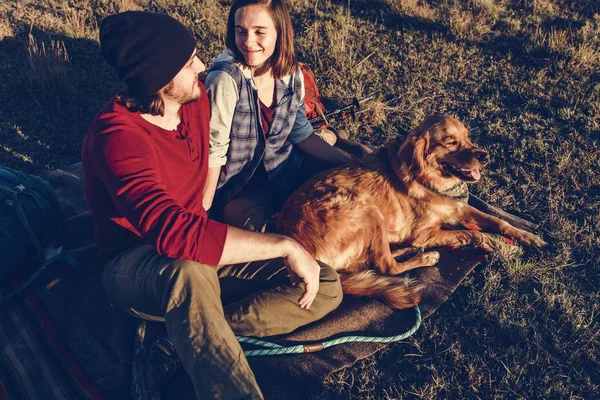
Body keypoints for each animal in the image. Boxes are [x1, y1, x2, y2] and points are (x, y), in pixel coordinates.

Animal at [278, 115, 548, 310]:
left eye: (467, 136)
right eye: (450, 141)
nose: (485, 156)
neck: (430, 179)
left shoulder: (459, 208)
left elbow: (498, 221)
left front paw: (529, 237)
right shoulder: (425, 233)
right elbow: (474, 234)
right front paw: (501, 246)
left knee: (377, 259)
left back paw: (406, 250)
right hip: (364, 207)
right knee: (386, 266)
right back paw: (426, 257)